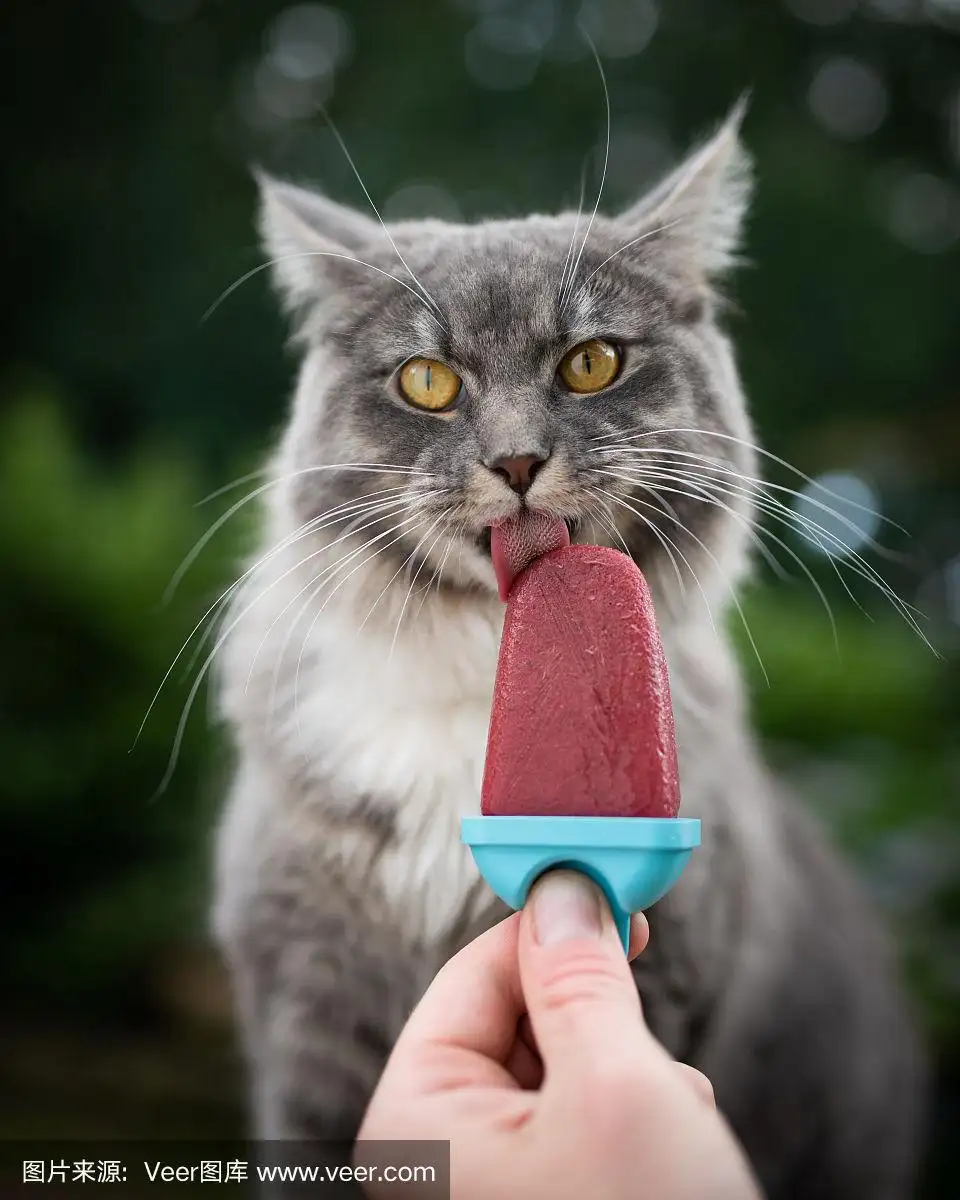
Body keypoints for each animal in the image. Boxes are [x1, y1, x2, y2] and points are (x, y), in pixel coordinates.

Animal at [210, 108, 921, 1195]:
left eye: (591, 363)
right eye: (427, 381)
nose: (515, 461)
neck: (489, 660)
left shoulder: (670, 978)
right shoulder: (303, 1009)